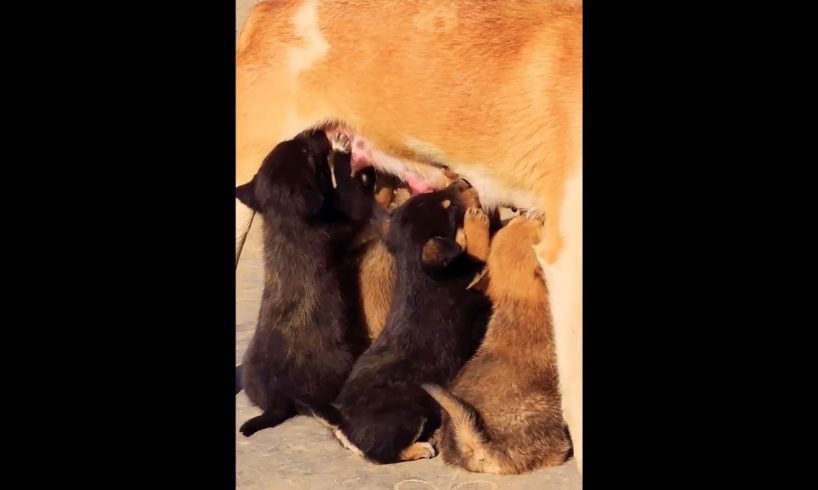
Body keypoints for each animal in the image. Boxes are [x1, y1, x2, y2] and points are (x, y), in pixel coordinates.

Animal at [236, 129, 372, 436]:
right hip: (342, 360)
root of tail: (279, 398)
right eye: (307, 154)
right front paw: (343, 154)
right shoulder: (346, 215)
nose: (316, 131)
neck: (284, 218)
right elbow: (350, 193)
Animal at [300, 183, 490, 464]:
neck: (417, 272)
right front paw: (476, 222)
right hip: (408, 417)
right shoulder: (472, 280)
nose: (465, 182)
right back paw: (420, 447)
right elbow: (477, 250)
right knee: (384, 454)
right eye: (447, 207)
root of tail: (342, 421)